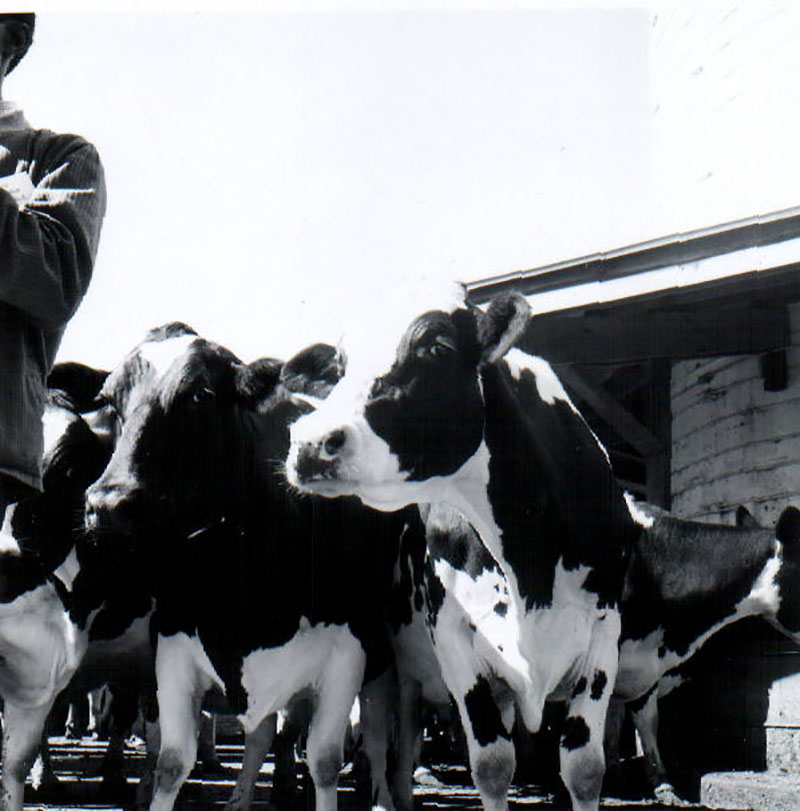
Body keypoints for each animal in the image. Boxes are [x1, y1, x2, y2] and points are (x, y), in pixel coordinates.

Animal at [82, 324, 432, 811]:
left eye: (199, 395)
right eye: (110, 399)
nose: (107, 505)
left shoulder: (349, 651)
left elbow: (326, 760)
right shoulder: (173, 643)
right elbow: (172, 761)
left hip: (384, 655)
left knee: (378, 739)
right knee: (264, 732)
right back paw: (242, 797)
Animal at [288, 290, 636, 811]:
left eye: (437, 346)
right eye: (339, 368)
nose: (310, 442)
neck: (532, 572)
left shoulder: (604, 630)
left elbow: (585, 769)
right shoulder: (452, 633)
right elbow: (492, 766)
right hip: (380, 662)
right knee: (383, 742)